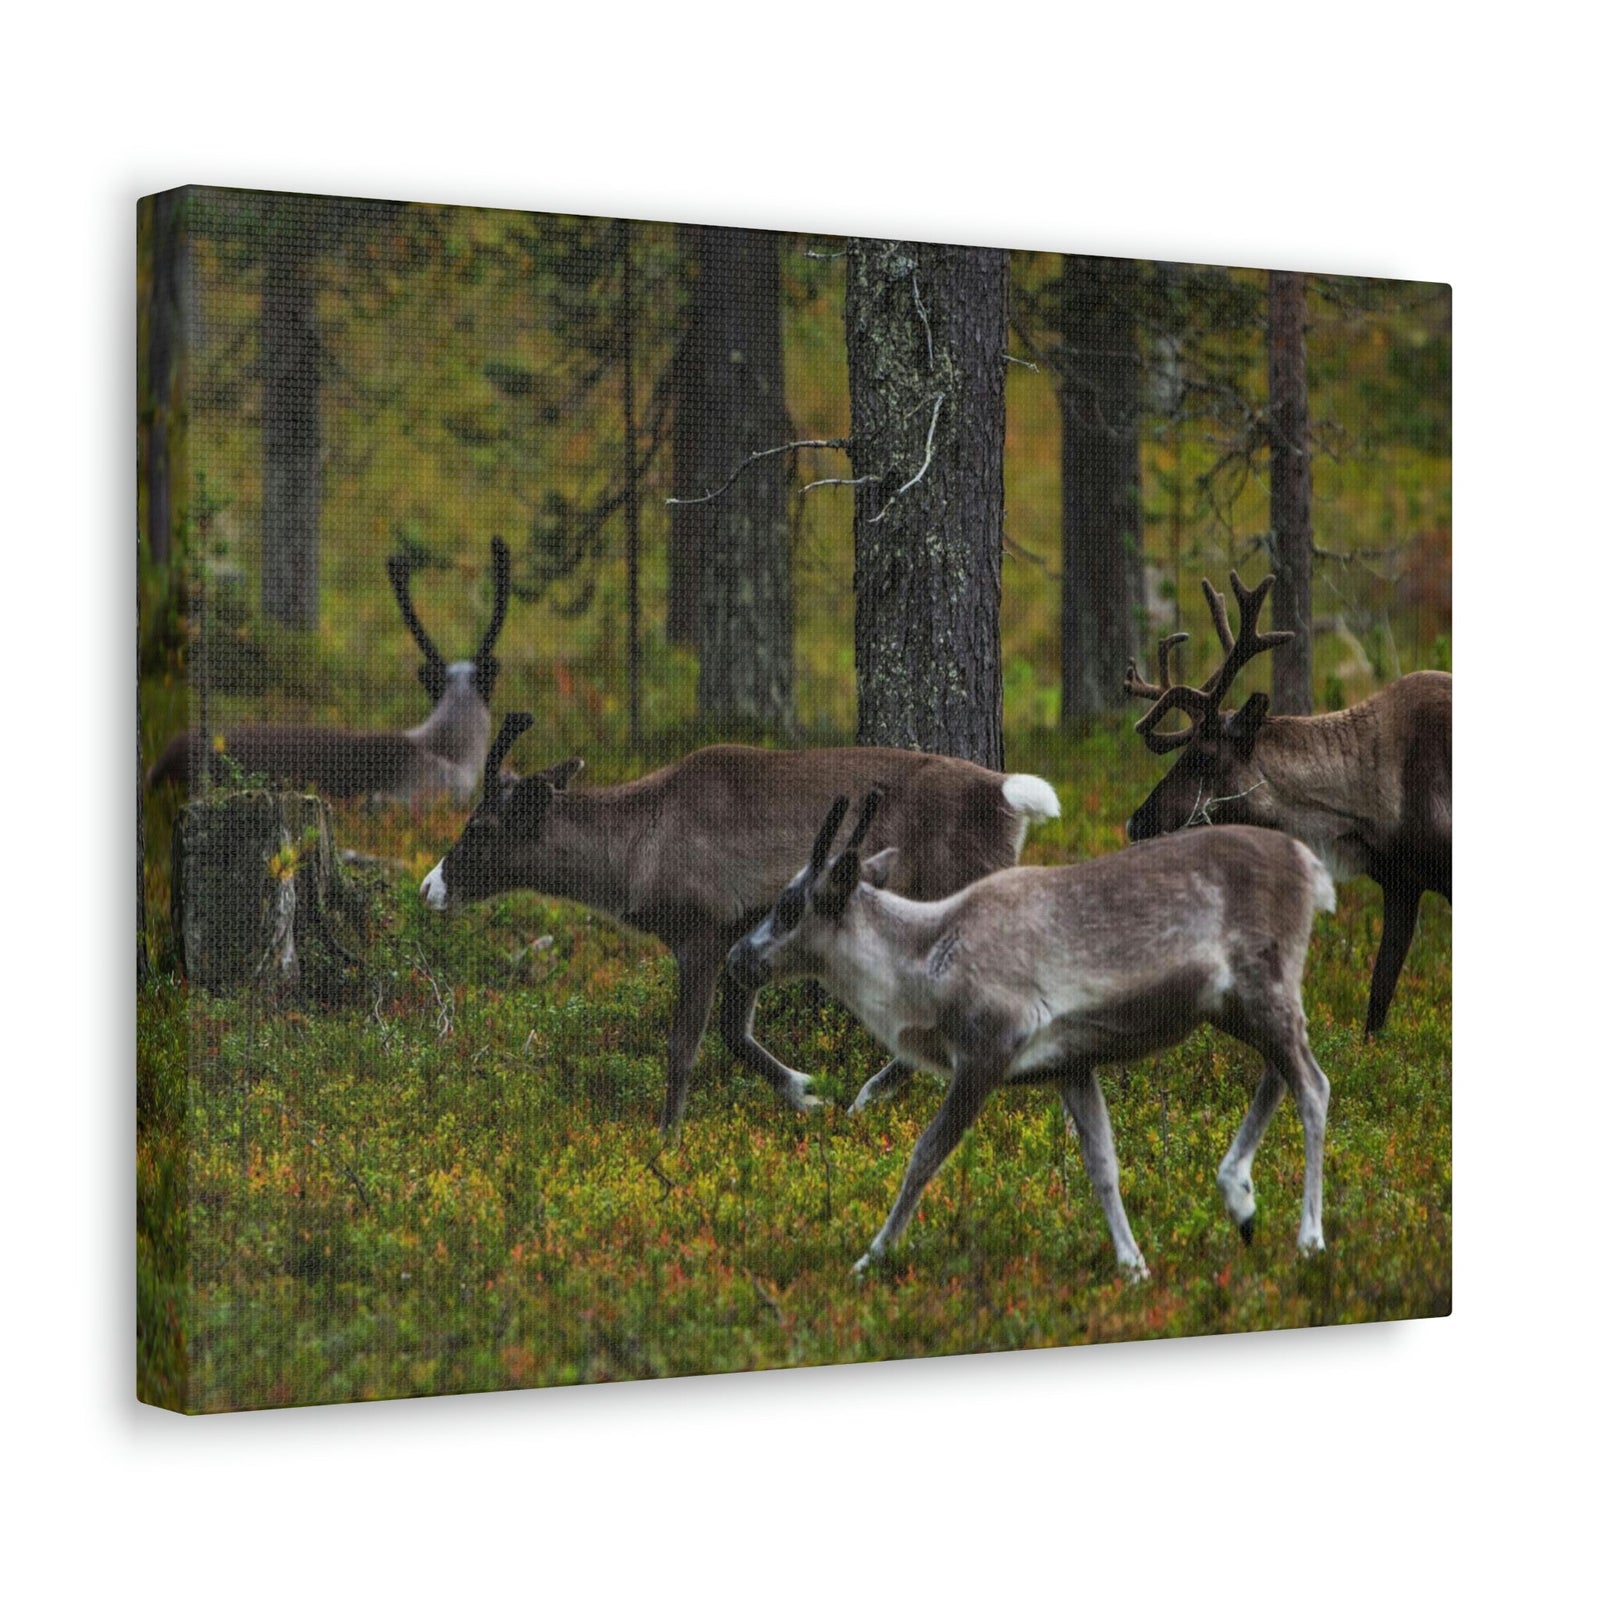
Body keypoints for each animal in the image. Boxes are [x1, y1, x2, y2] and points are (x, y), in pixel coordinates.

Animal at [419, 713, 1063, 1135]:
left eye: (480, 827)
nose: (429, 887)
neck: (635, 851)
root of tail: (1007, 794)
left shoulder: (701, 934)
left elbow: (685, 1044)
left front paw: (666, 1138)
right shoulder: (740, 938)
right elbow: (733, 1032)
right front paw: (803, 1094)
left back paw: (872, 1094)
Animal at [727, 792, 1336, 1276]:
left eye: (788, 905)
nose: (737, 957)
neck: (922, 966)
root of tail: (1311, 864)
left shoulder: (987, 1049)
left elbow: (924, 1155)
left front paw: (869, 1259)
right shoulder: (1070, 1064)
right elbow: (1102, 1165)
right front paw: (1133, 1264)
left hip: (1264, 984)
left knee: (1313, 1085)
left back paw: (1309, 1237)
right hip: (1234, 1004)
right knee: (1280, 1072)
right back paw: (1241, 1199)